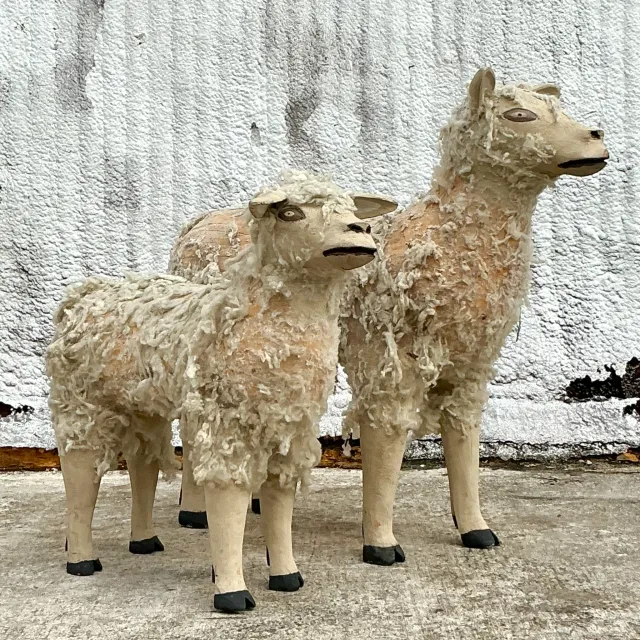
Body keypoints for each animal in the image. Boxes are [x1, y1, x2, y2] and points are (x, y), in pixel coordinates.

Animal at [45, 170, 397, 612]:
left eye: (352, 209)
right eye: (289, 212)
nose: (359, 231)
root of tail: (83, 296)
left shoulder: (288, 427)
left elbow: (279, 499)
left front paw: (287, 577)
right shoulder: (226, 423)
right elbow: (229, 501)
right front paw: (232, 592)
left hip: (142, 405)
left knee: (142, 463)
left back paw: (143, 540)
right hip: (81, 403)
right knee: (80, 473)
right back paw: (81, 559)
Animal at [168, 68, 609, 562]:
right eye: (519, 115)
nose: (597, 137)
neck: (446, 234)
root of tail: (194, 227)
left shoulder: (470, 364)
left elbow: (464, 439)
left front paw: (476, 530)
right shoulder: (389, 356)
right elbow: (387, 440)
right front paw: (381, 543)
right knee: (193, 422)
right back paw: (195, 513)